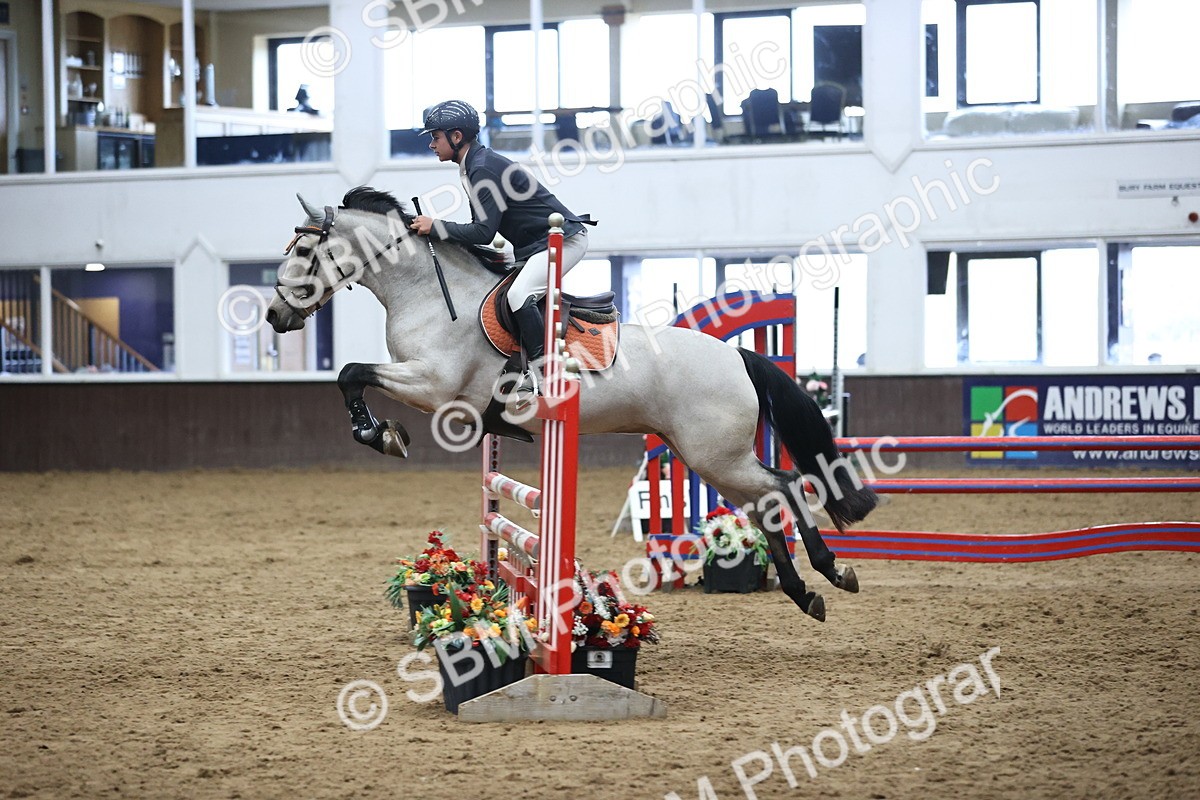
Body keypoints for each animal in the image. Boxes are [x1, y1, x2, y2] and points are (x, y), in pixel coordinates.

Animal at [266, 187, 878, 622]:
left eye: (304, 250)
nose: (274, 316)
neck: (428, 294)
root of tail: (737, 355)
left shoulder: (432, 387)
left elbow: (350, 374)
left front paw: (380, 435)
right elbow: (352, 376)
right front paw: (382, 433)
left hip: (714, 454)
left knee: (784, 487)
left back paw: (830, 571)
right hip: (707, 457)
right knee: (764, 504)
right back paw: (806, 593)